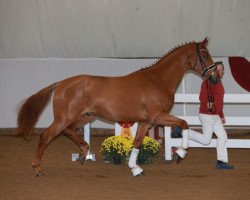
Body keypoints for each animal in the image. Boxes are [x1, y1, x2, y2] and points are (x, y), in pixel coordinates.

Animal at [16, 38, 218, 177]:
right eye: (205, 55)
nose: (215, 77)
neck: (158, 80)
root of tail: (61, 84)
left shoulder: (146, 122)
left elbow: (137, 143)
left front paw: (135, 168)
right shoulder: (157, 116)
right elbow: (184, 124)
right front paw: (181, 154)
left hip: (86, 116)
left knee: (69, 130)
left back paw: (83, 154)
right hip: (64, 117)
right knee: (46, 136)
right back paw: (38, 168)